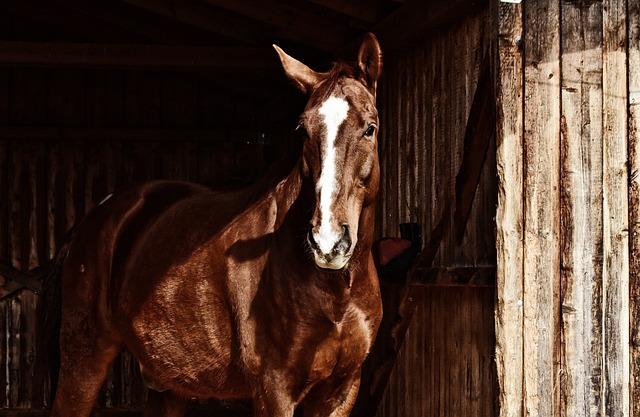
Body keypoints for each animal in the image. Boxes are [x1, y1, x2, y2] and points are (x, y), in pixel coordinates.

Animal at [48, 33, 384, 416]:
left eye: (369, 128)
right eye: (303, 130)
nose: (327, 242)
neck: (335, 292)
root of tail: (98, 215)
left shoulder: (342, 389)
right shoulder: (275, 390)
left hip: (169, 384)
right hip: (84, 359)